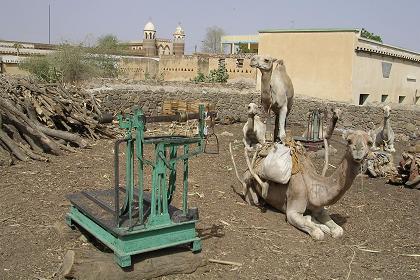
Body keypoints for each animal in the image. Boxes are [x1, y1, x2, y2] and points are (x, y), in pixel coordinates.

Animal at [231, 130, 372, 240]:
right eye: (349, 141)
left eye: (370, 142)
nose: (358, 151)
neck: (313, 185)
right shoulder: (293, 210)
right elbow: (317, 233)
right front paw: (318, 226)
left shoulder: (320, 208)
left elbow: (338, 230)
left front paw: (326, 227)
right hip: (248, 180)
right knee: (249, 189)